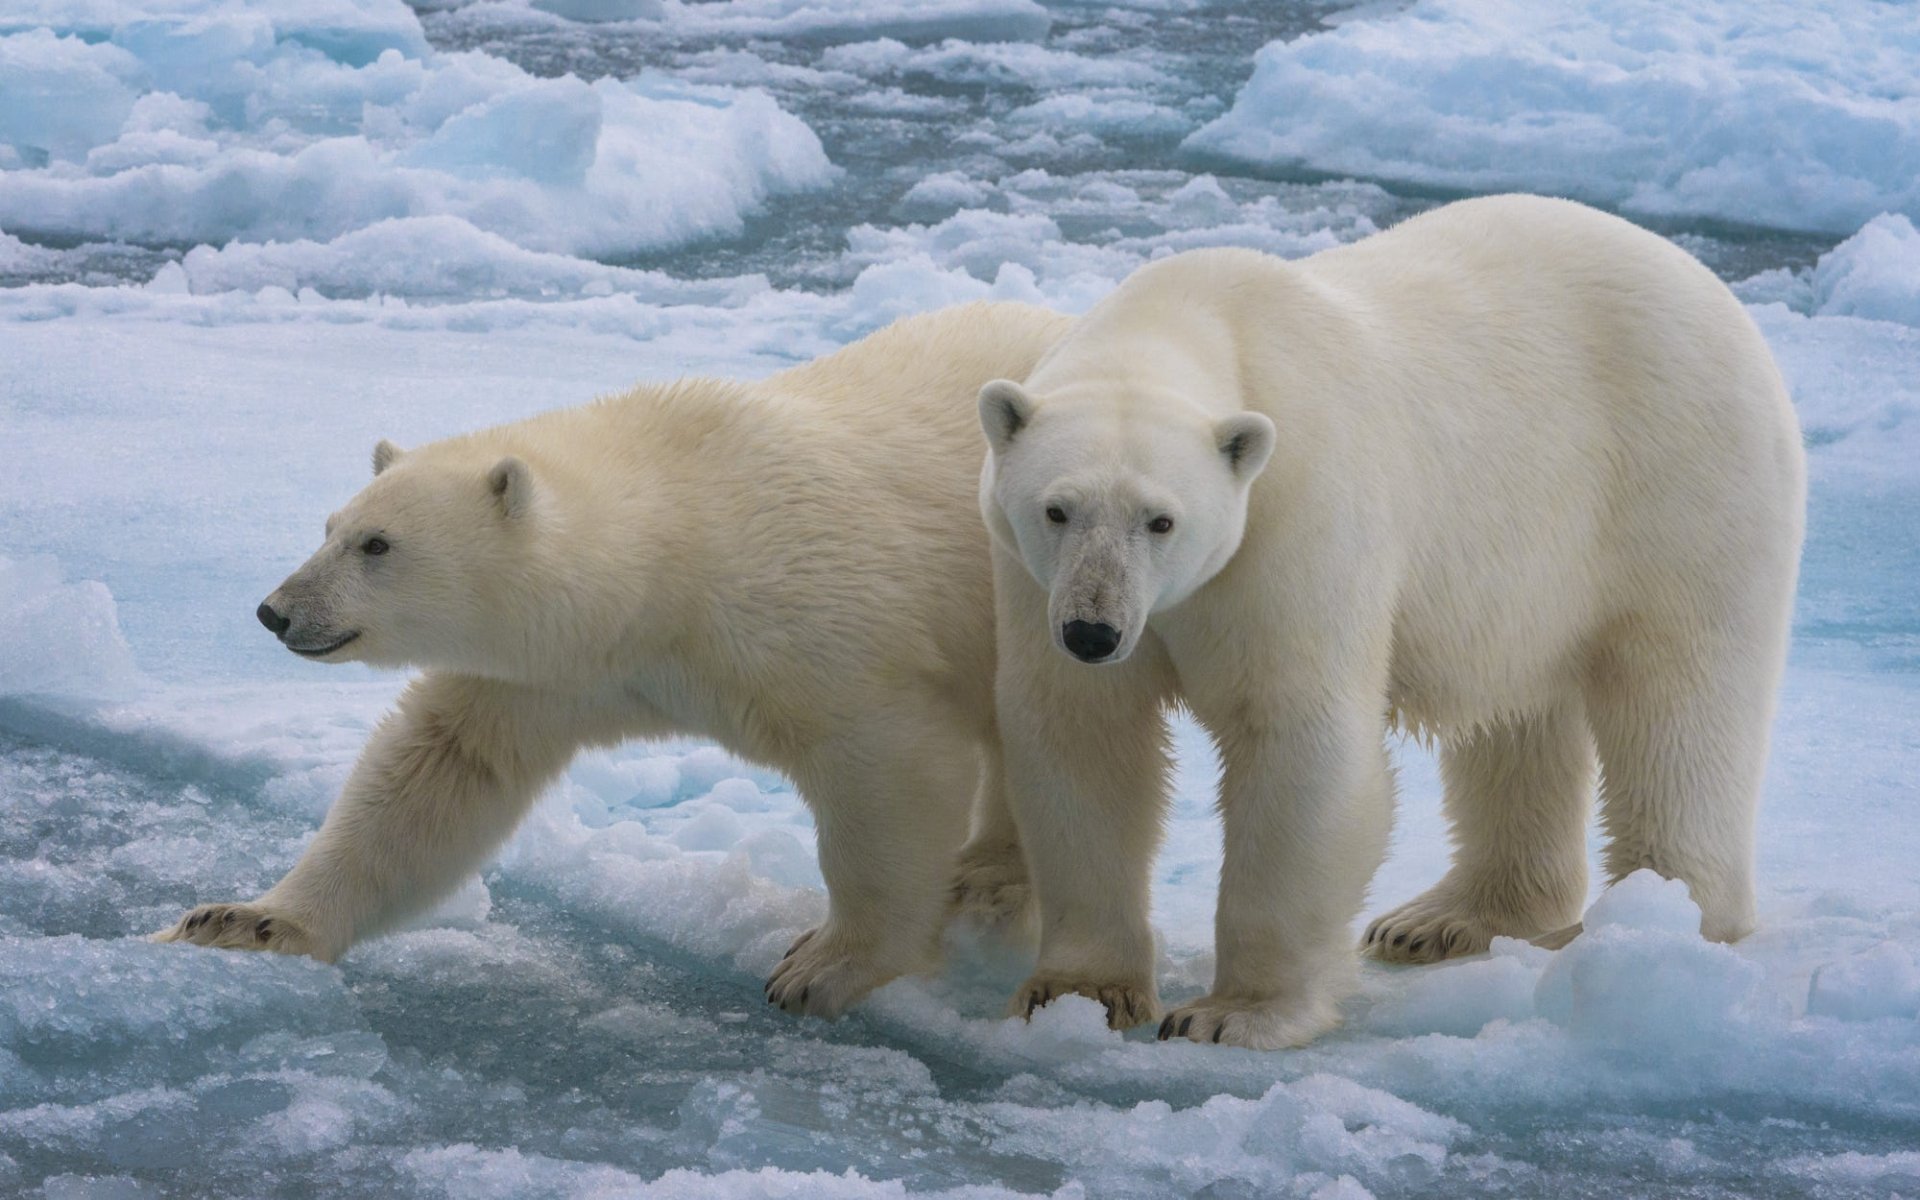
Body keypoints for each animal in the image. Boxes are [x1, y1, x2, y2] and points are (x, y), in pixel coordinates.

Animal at [155, 300, 1073, 1020]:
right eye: (329, 527)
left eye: (377, 544)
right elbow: (439, 771)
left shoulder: (818, 621)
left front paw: (821, 967)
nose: (276, 611)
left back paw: (994, 881)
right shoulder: (553, 673)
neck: (677, 546)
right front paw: (241, 922)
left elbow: (887, 769)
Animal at [975, 194, 1805, 1050]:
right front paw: (1077, 993)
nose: (1093, 632)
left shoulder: (1297, 520)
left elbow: (1295, 737)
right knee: (1522, 718)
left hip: (1679, 485)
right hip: (1531, 573)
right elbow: (1084, 739)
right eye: (1057, 509)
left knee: (1680, 706)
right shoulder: (1030, 578)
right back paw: (1443, 920)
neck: (1197, 318)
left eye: (1161, 519)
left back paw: (1656, 926)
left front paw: (1231, 1012)